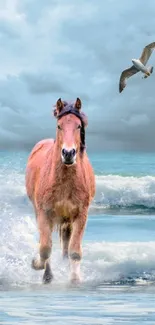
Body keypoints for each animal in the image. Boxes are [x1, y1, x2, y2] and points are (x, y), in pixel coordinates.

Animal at [25, 97, 95, 282]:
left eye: (78, 126)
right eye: (59, 126)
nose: (68, 153)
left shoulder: (80, 215)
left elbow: (75, 251)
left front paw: (75, 280)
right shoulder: (44, 213)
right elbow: (45, 248)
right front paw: (37, 265)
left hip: (67, 219)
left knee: (66, 243)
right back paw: (47, 275)